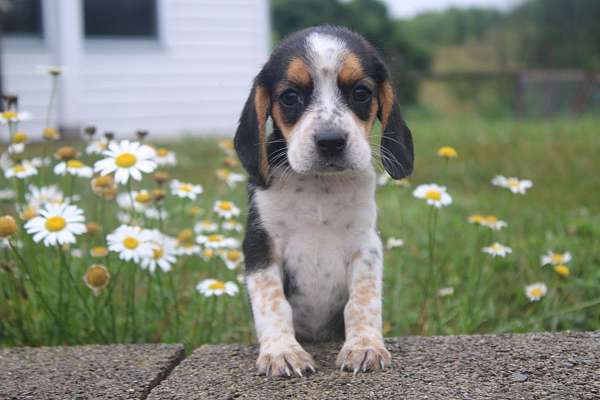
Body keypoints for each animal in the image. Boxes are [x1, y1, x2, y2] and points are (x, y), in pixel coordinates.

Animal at [233, 25, 412, 378]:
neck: (320, 186)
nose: (331, 141)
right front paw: (282, 352)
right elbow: (272, 303)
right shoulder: (260, 244)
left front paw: (364, 346)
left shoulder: (365, 245)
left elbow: (362, 301)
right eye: (290, 96)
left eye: (361, 92)